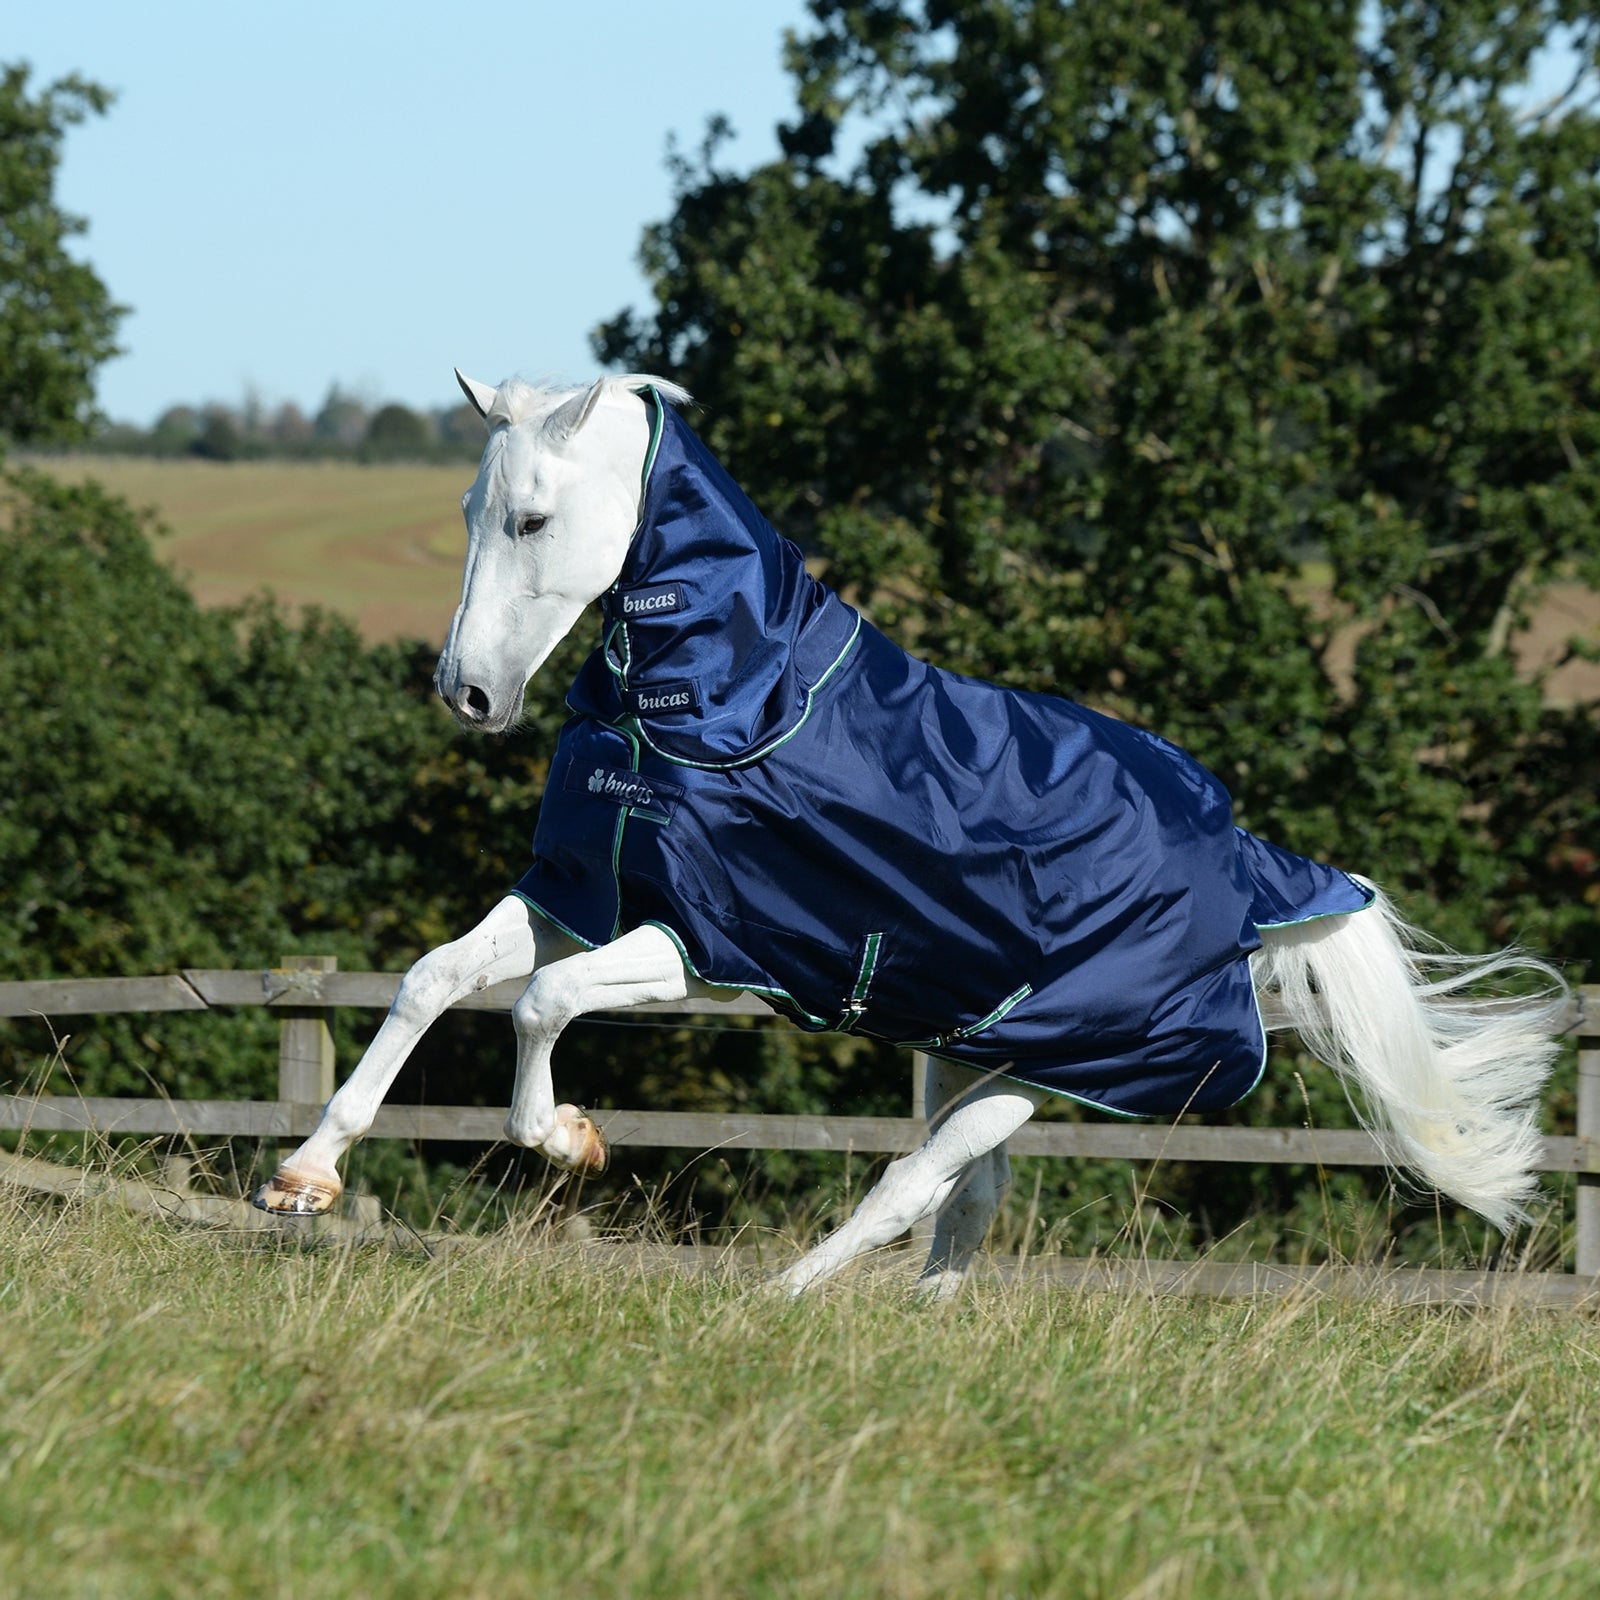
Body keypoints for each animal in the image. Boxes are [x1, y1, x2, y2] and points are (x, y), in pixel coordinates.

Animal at [255, 371, 1565, 1295]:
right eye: (471, 509)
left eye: (532, 519)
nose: (466, 694)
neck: (725, 700)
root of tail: (1245, 866)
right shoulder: (577, 889)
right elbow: (435, 979)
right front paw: (304, 1179)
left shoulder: (708, 946)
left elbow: (539, 1005)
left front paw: (571, 1140)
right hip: (963, 1046)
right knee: (967, 1205)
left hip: (1051, 1067)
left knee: (912, 1184)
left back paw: (775, 1301)